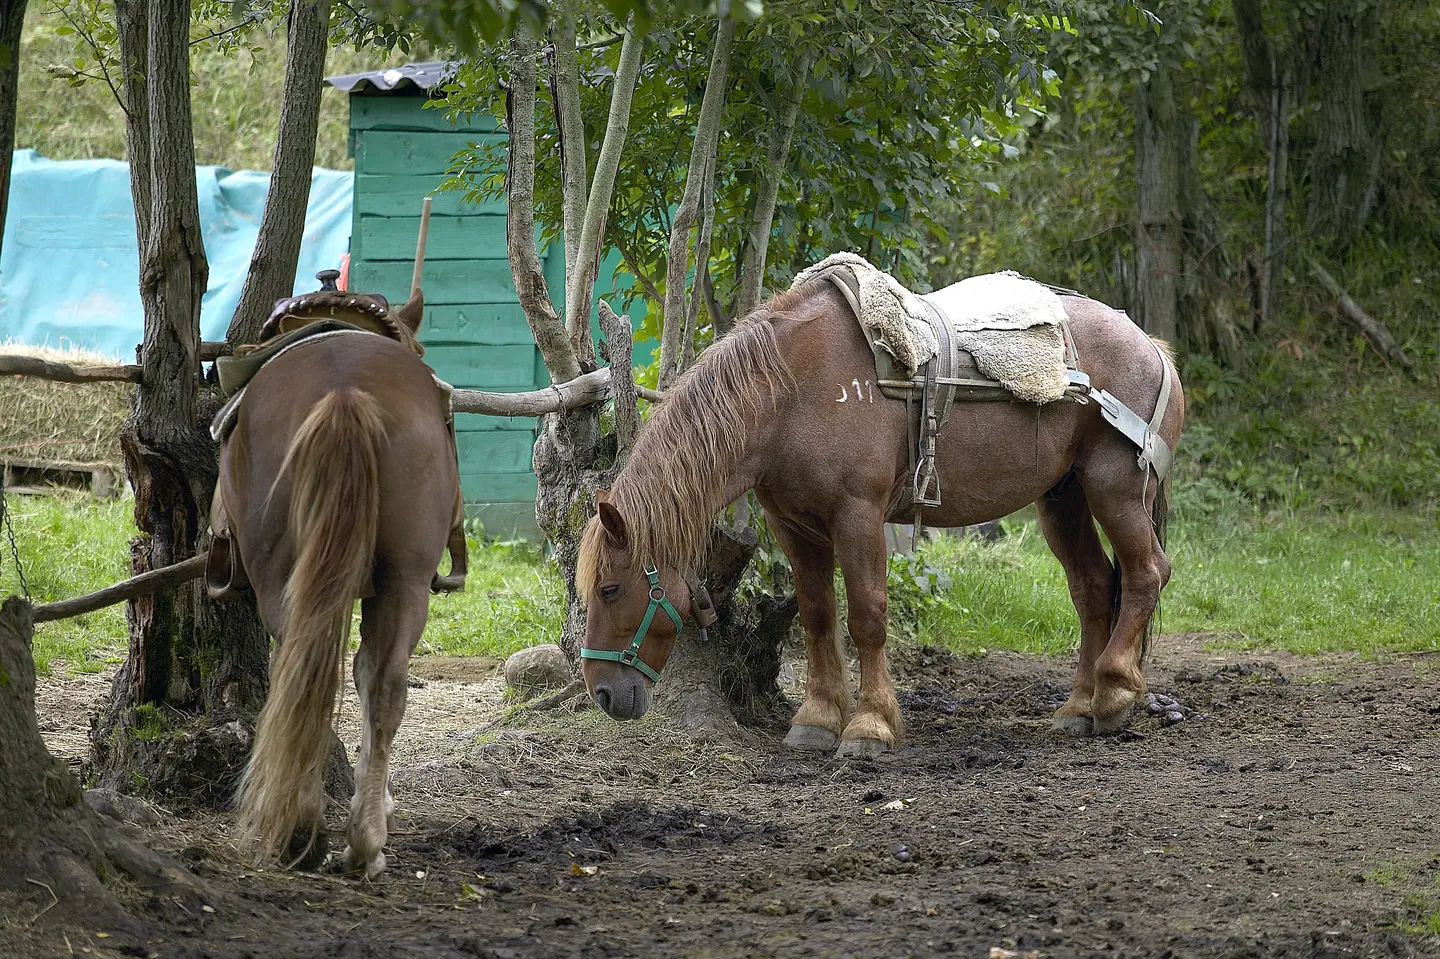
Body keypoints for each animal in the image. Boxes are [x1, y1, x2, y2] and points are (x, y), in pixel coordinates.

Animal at [218, 285, 460, 875]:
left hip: (287, 581)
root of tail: (344, 391)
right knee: (380, 685)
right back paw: (360, 840)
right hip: (404, 581)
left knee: (307, 672)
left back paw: (313, 833)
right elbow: (367, 676)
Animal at [573, 272, 1180, 748]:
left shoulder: (857, 516)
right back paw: (1079, 708)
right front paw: (817, 719)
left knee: (1147, 573)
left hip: (1115, 489)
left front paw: (870, 725)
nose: (602, 692)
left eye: (610, 589)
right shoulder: (794, 528)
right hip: (1063, 500)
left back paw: (1115, 692)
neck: (792, 391)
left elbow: (866, 615)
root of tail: (1152, 347)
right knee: (1094, 588)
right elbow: (818, 615)